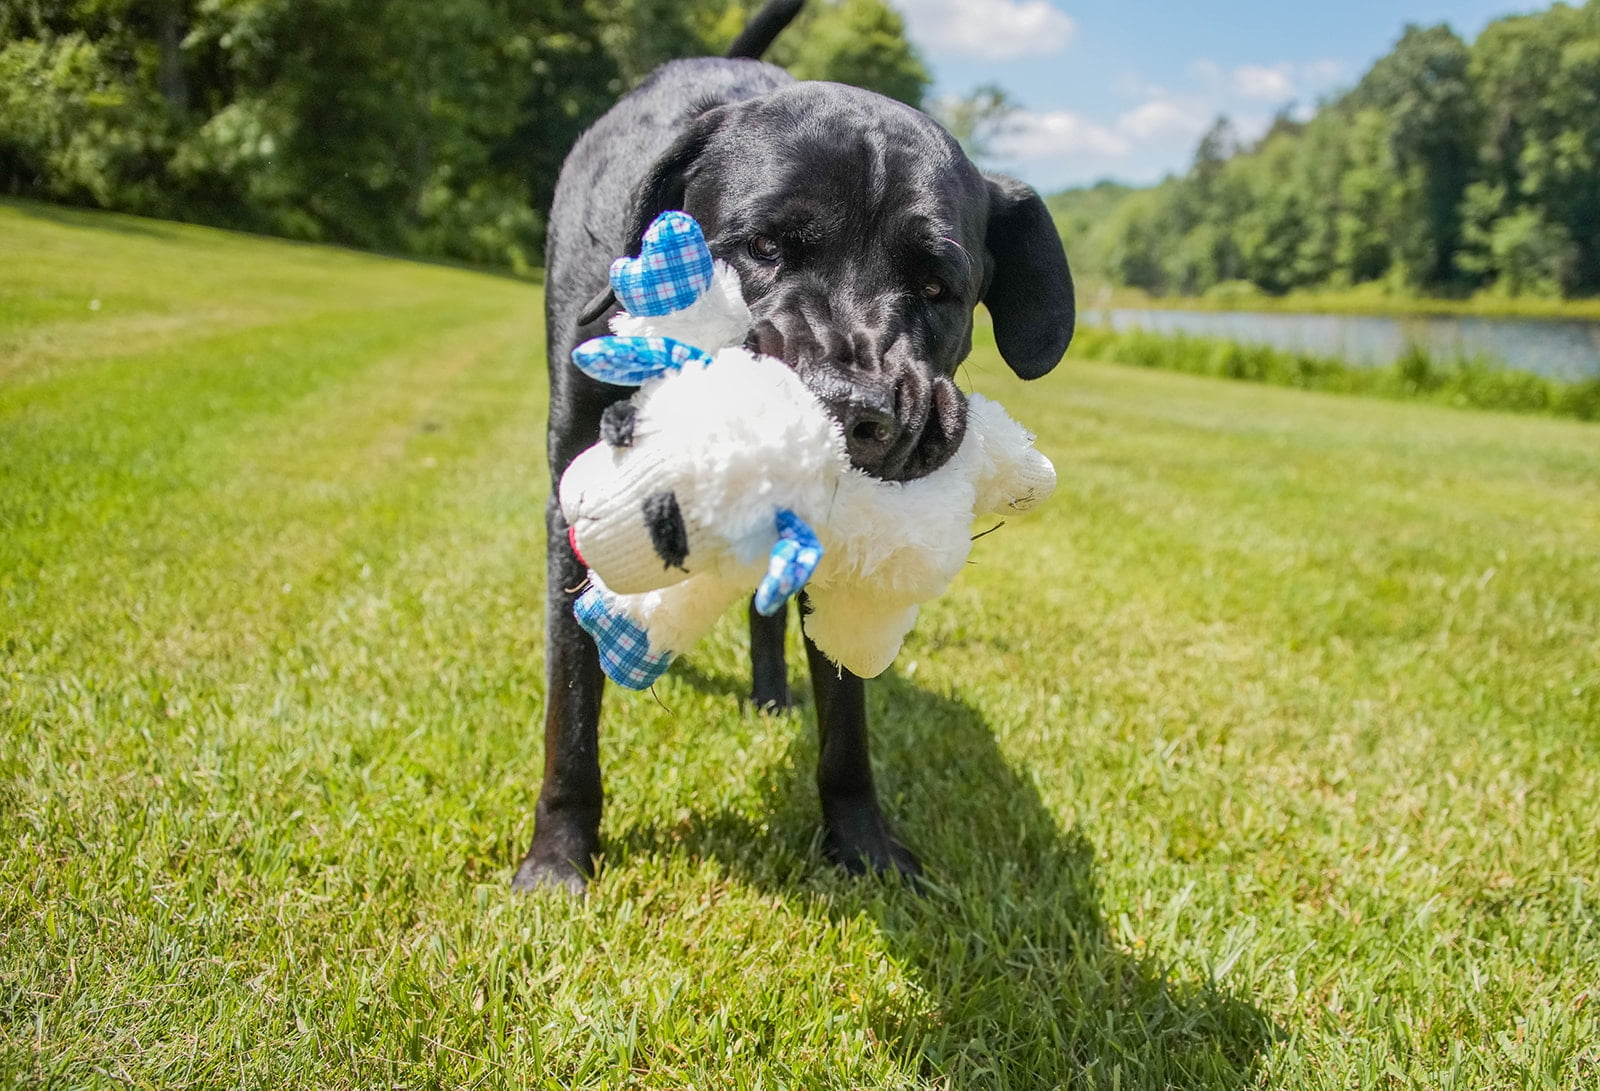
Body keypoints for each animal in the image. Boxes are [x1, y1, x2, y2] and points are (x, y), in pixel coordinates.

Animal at [518, 2, 1075, 889]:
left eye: (936, 287)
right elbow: (570, 698)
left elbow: (845, 713)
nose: (851, 410)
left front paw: (862, 841)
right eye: (765, 247)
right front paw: (558, 854)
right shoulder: (572, 493)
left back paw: (772, 692)